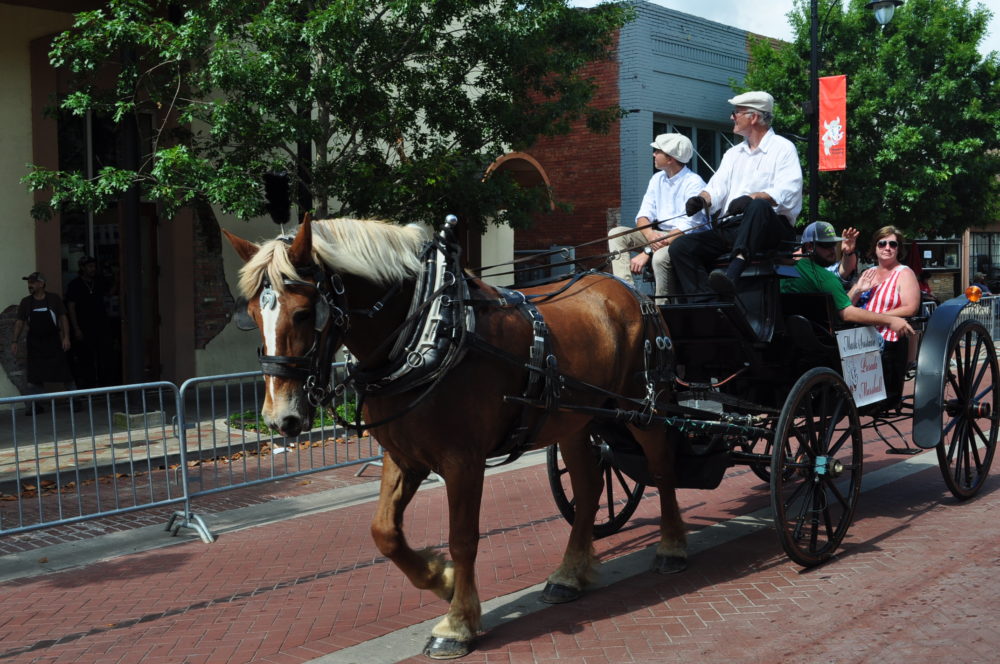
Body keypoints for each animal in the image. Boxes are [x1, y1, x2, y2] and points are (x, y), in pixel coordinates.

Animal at [222, 217, 684, 660]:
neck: (428, 334)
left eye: (304, 313)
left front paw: (457, 624)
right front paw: (439, 580)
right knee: (589, 488)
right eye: (252, 313)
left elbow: (463, 539)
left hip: (646, 409)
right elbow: (384, 532)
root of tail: (623, 288)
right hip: (574, 421)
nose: (279, 418)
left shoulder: (464, 460)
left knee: (662, 470)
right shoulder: (404, 456)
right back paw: (569, 575)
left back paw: (671, 548)